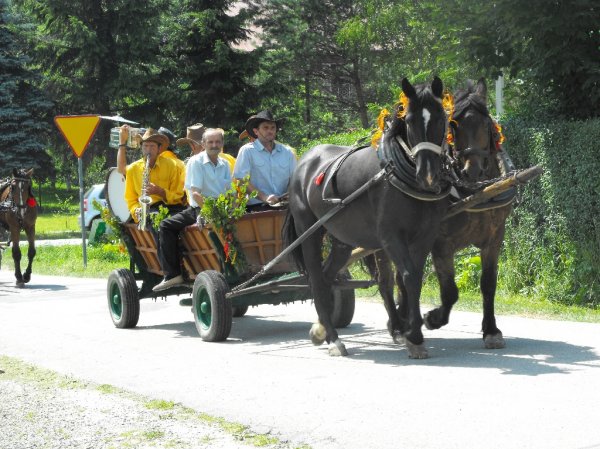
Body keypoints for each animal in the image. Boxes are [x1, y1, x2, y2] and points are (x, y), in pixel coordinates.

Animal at [284, 77, 450, 356]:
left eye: (441, 118)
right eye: (410, 121)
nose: (428, 175)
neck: (397, 174)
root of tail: (304, 162)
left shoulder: (425, 235)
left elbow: (412, 277)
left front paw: (408, 330)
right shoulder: (391, 237)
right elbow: (408, 277)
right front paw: (414, 335)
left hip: (342, 238)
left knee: (327, 276)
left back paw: (321, 329)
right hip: (310, 231)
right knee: (317, 280)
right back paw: (333, 338)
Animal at [422, 79, 516, 348]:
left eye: (486, 124)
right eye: (453, 125)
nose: (471, 170)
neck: (476, 193)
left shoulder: (494, 239)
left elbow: (488, 284)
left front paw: (491, 330)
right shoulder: (441, 244)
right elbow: (450, 291)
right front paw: (434, 318)